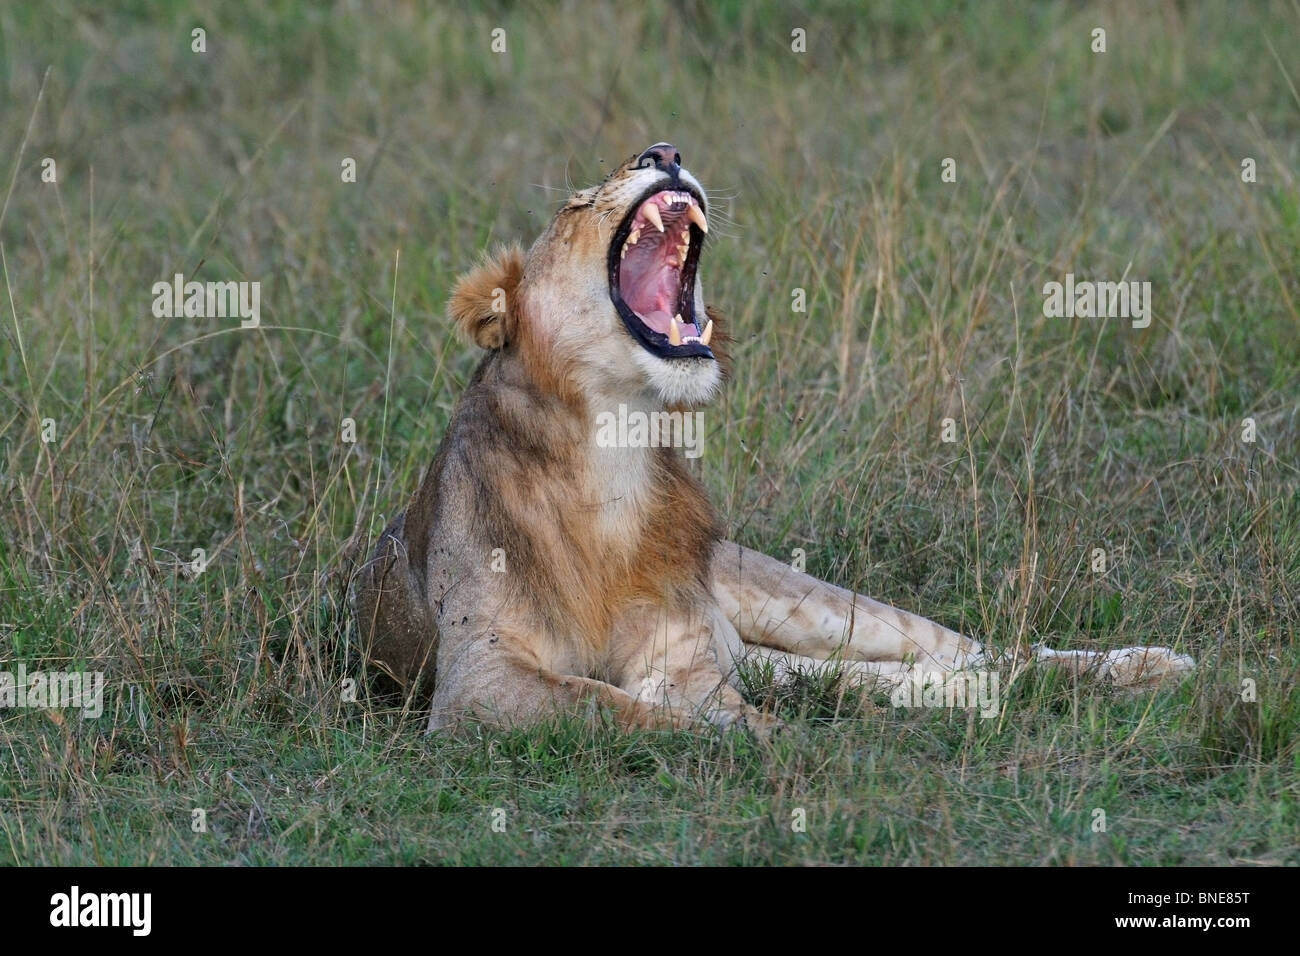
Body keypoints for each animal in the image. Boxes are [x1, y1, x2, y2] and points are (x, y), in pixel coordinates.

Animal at [353, 141, 1190, 738]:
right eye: (574, 205)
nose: (664, 150)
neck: (611, 445)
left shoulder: (683, 651)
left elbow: (689, 706)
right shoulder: (477, 683)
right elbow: (624, 709)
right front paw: (774, 742)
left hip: (791, 595)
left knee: (977, 649)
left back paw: (1147, 667)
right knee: (872, 676)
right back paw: (972, 697)